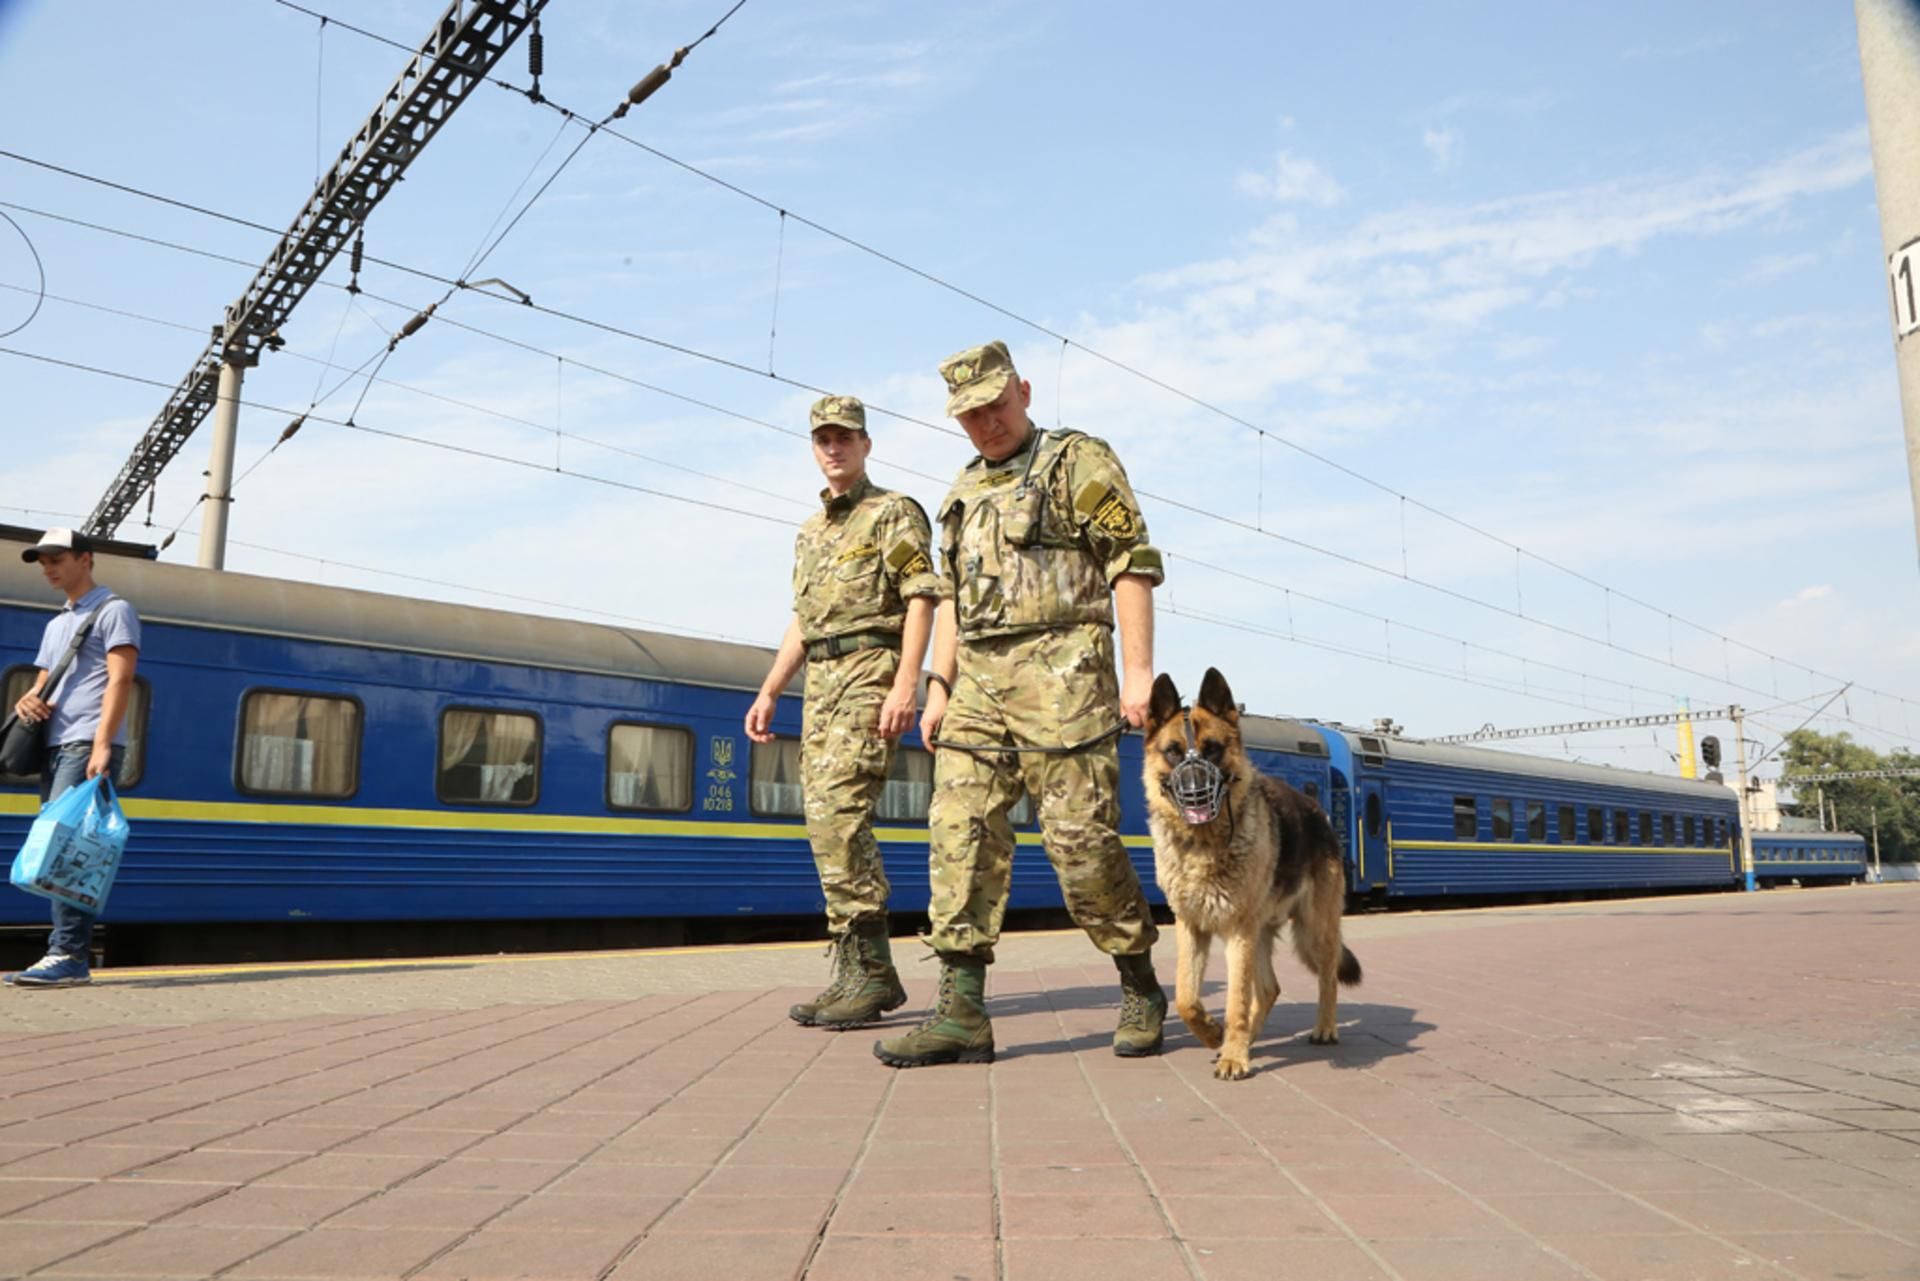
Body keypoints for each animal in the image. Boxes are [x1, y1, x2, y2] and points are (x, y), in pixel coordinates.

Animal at [1144, 672, 1359, 1083]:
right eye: (1174, 752)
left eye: (1212, 749)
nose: (1195, 794)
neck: (1203, 846)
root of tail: (1316, 810)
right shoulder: (1191, 926)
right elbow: (1185, 997)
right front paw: (1214, 1035)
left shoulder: (1237, 931)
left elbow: (1236, 1000)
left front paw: (1233, 1054)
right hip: (1260, 932)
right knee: (1271, 988)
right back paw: (1246, 1039)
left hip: (1312, 929)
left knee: (1326, 976)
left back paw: (1323, 1028)